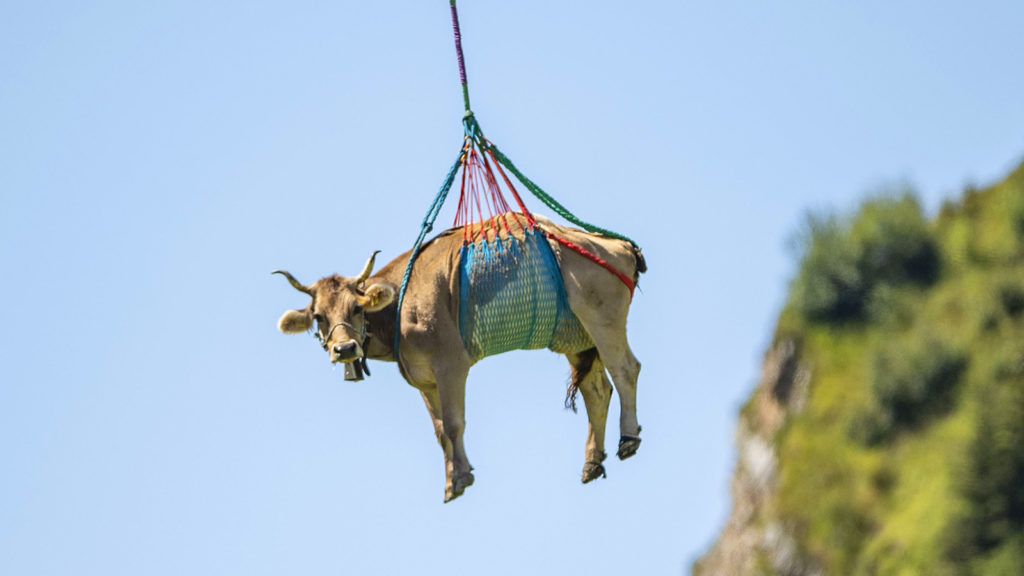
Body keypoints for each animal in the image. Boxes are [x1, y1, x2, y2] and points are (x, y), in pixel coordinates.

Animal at [274, 213, 645, 502]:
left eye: (356, 307)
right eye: (318, 316)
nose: (345, 349)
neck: (403, 303)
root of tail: (618, 245)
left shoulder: (451, 363)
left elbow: (454, 423)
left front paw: (462, 478)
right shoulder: (423, 378)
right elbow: (440, 431)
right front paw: (452, 481)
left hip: (602, 319)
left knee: (626, 369)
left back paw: (628, 439)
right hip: (574, 336)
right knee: (597, 391)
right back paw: (592, 463)